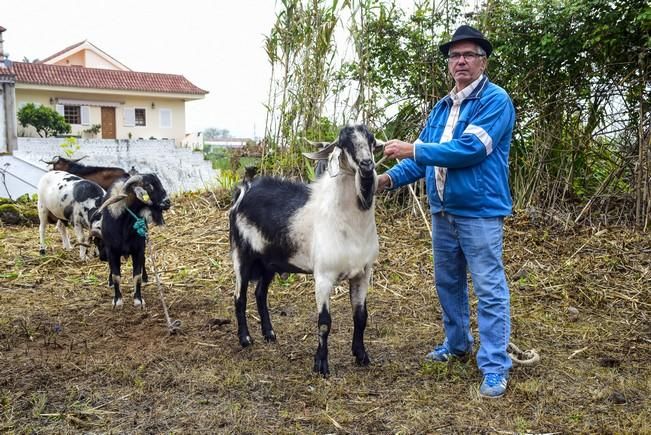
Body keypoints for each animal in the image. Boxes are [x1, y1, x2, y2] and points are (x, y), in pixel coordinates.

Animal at [95, 172, 171, 308]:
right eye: (148, 185)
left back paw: (146, 279)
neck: (124, 222)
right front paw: (117, 300)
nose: (167, 202)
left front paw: (138, 300)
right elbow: (116, 276)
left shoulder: (139, 249)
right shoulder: (111, 250)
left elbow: (137, 276)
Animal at [229, 124, 382, 376]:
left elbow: (361, 316)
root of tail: (245, 189)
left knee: (260, 294)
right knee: (239, 297)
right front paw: (321, 365)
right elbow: (324, 322)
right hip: (242, 255)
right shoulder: (323, 276)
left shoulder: (362, 273)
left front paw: (361, 355)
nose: (367, 165)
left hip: (269, 261)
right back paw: (245, 339)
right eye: (344, 143)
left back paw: (269, 334)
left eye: (370, 140)